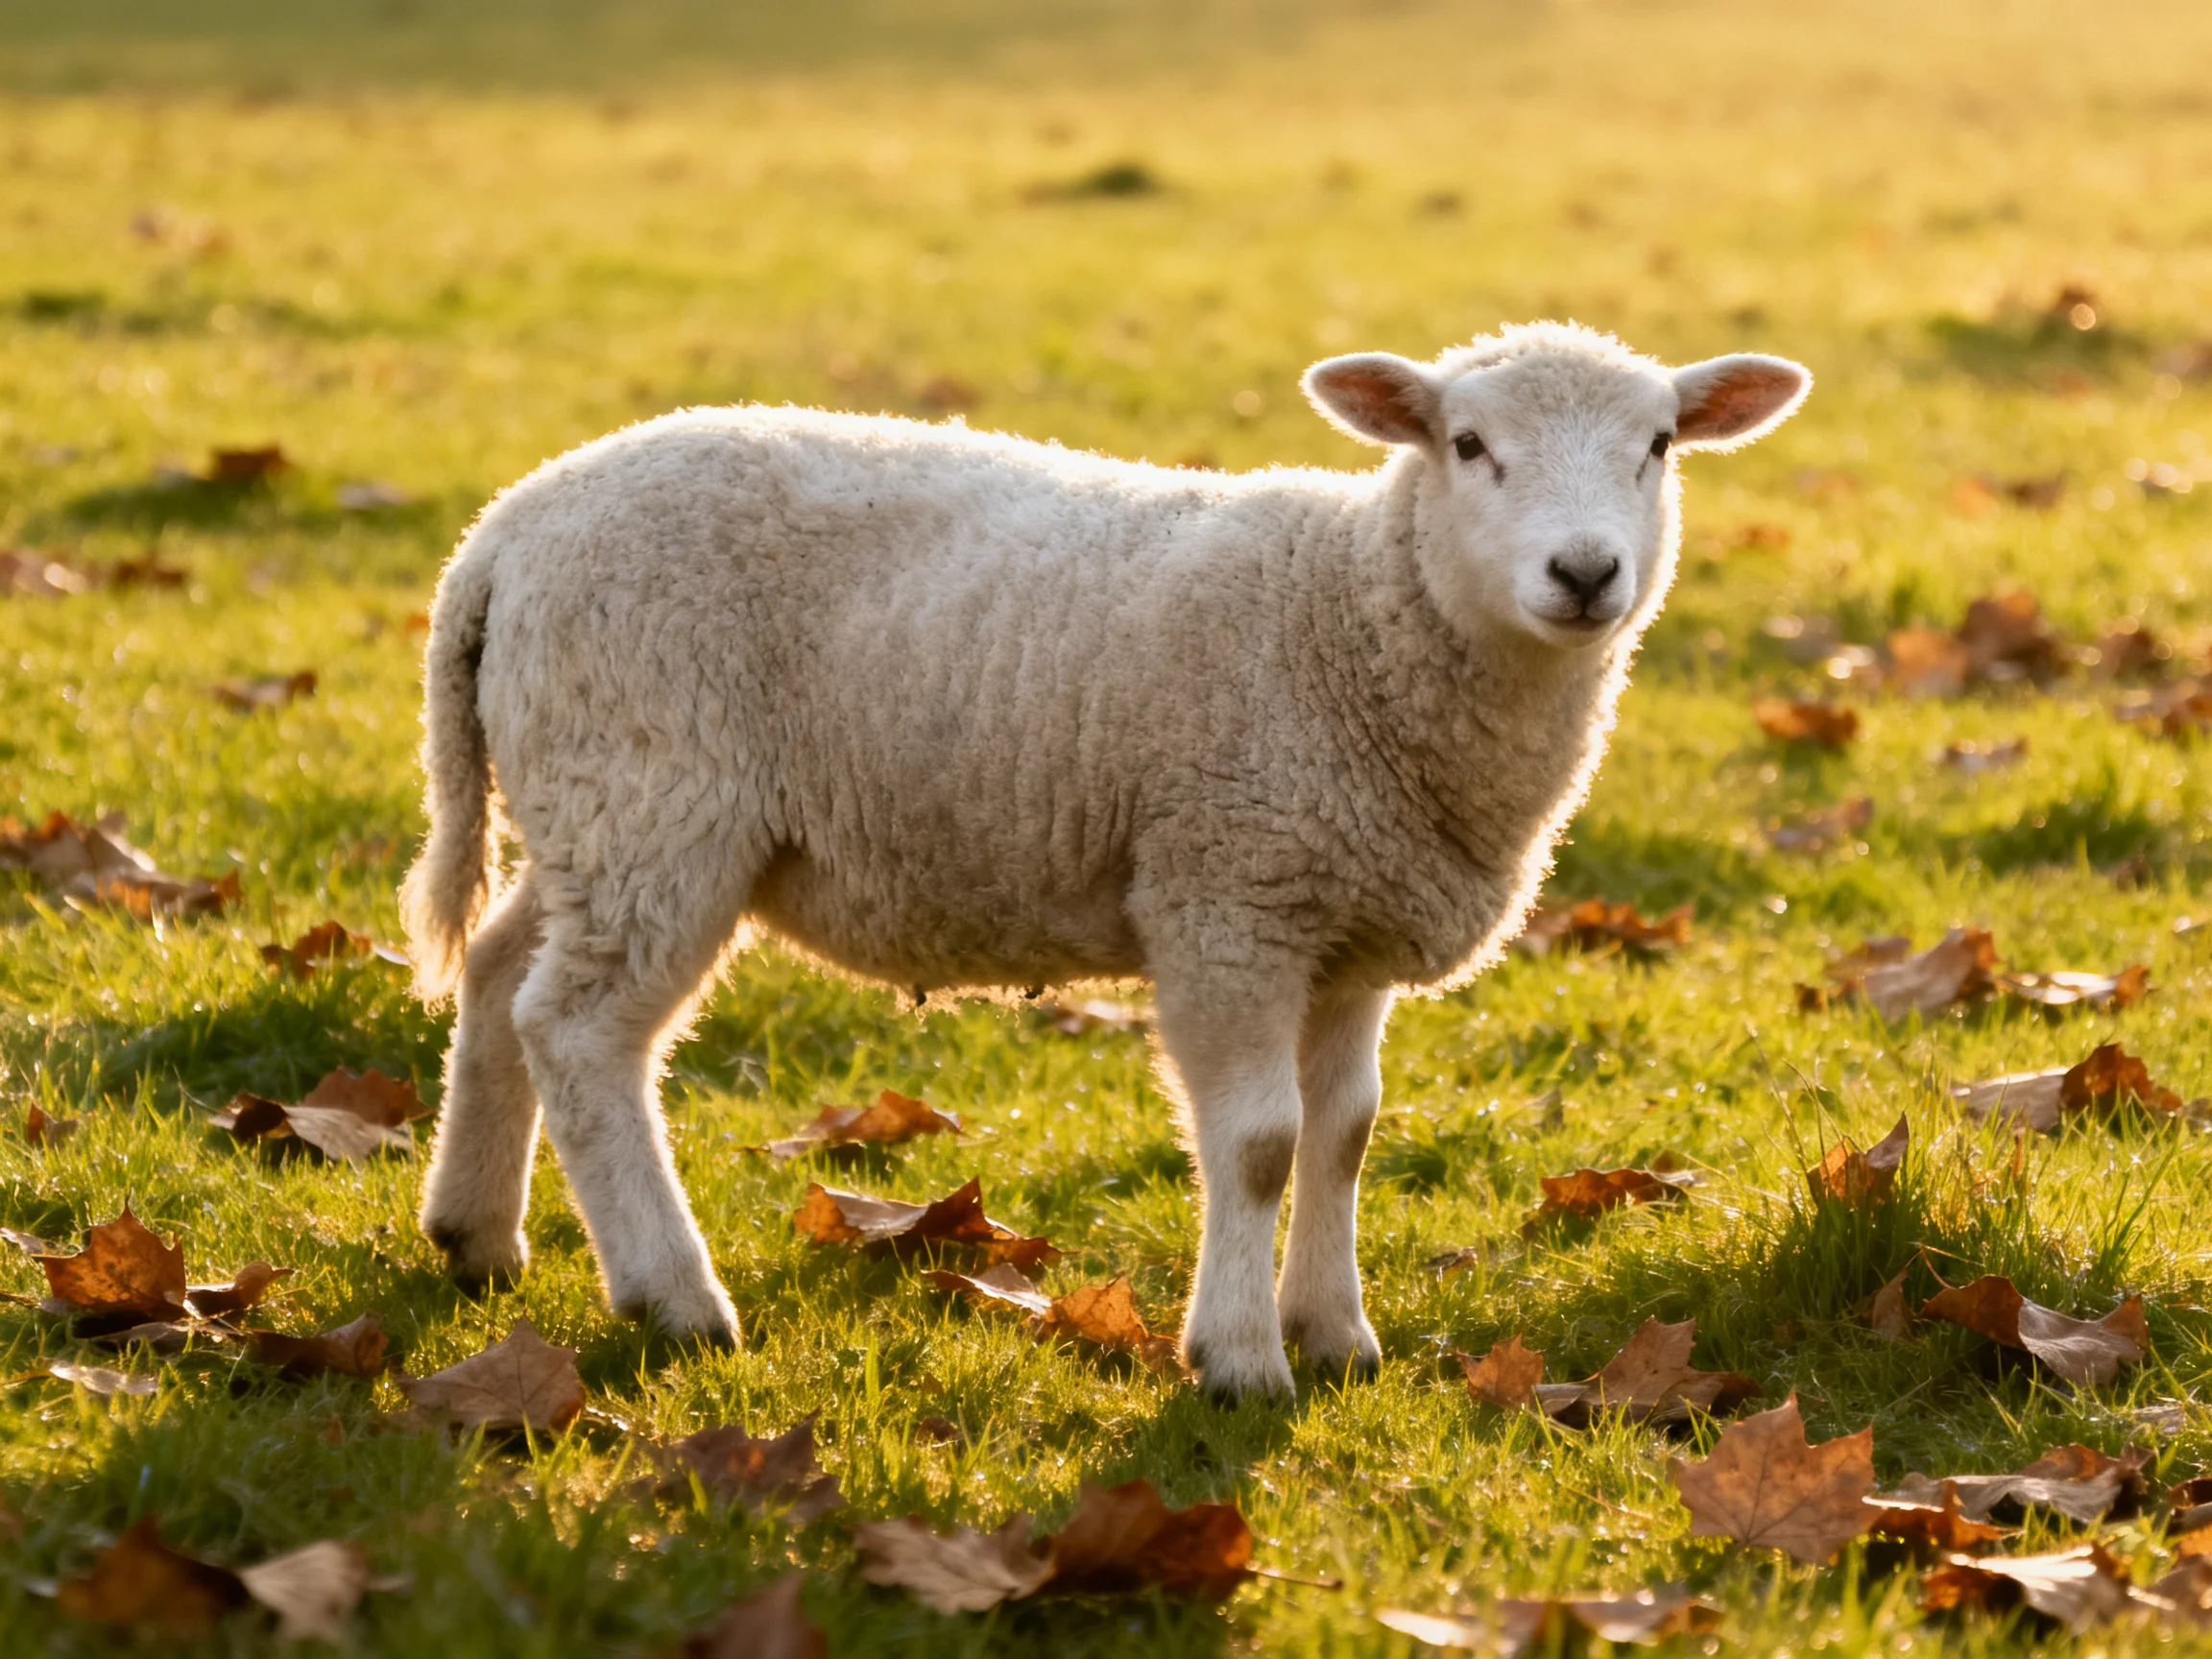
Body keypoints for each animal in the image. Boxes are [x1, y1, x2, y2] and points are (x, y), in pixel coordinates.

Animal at [399, 321, 1809, 1399]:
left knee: (500, 976)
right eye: (1468, 446)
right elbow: (1260, 1143)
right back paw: (673, 1297)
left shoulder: (1344, 925)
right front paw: (1239, 1360)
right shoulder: (1228, 893)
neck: (1358, 617)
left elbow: (1345, 1135)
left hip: (590, 804)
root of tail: (505, 531)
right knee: (582, 1031)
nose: (1586, 572)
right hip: (655, 793)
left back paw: (475, 1235)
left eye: (1658, 446)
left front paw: (1338, 1337)